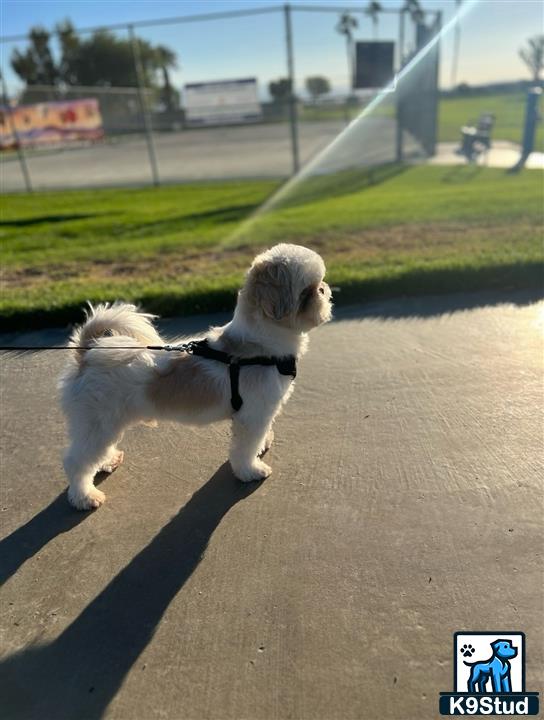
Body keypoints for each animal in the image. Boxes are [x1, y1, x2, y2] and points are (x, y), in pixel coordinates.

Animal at [58, 245, 332, 510]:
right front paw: (251, 470)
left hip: (104, 424)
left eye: (318, 283)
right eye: (306, 292)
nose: (323, 288)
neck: (259, 348)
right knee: (77, 462)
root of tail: (87, 355)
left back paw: (108, 460)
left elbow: (259, 438)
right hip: (98, 423)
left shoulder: (261, 414)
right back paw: (84, 496)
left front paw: (263, 445)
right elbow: (245, 449)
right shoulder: (252, 416)